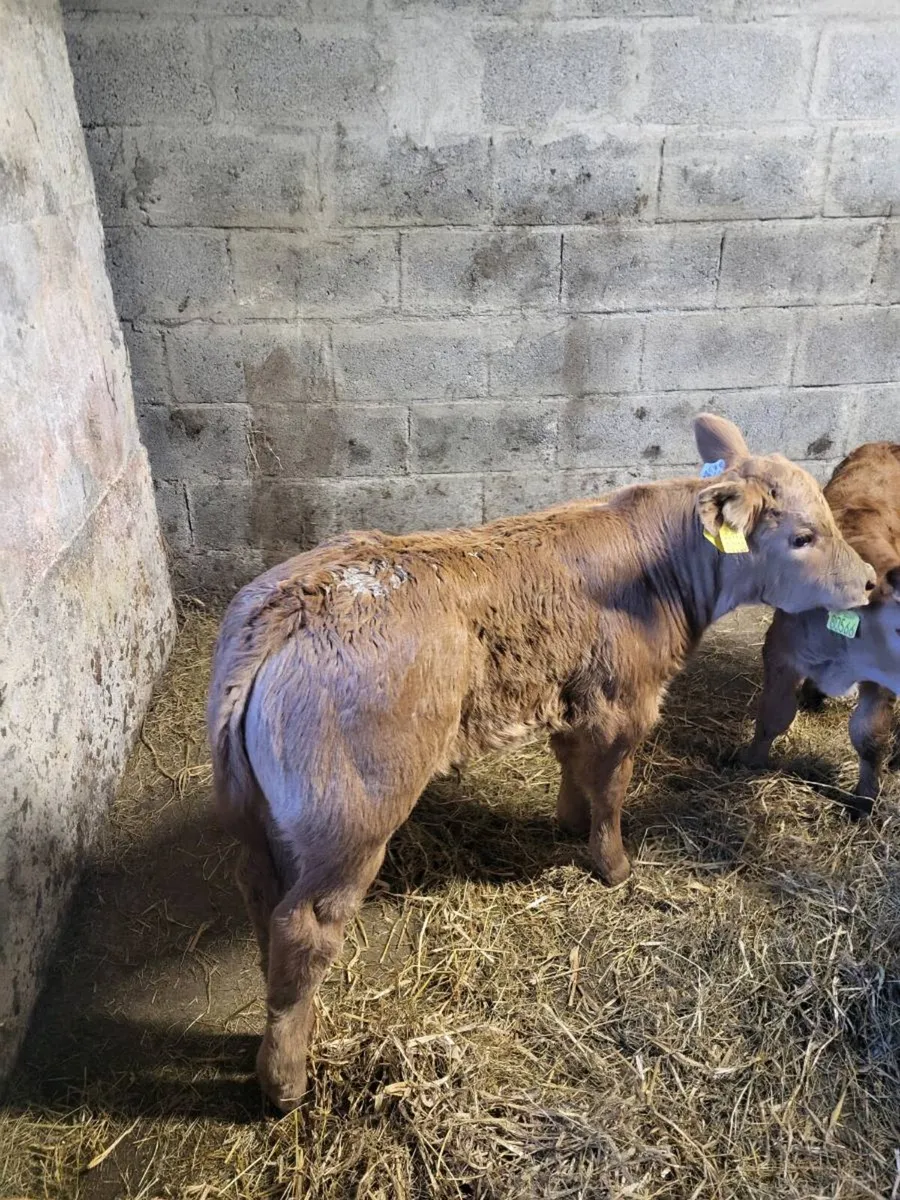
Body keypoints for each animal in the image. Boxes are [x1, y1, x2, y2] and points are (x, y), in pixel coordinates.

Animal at [207, 413, 875, 1112]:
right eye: (803, 536)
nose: (868, 581)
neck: (662, 573)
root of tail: (291, 603)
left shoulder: (573, 698)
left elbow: (573, 768)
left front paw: (567, 822)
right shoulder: (624, 705)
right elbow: (611, 791)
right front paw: (613, 866)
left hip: (254, 813)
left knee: (259, 893)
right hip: (353, 818)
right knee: (303, 928)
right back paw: (285, 1083)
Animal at [742, 441, 900, 815]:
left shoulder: (880, 681)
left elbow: (870, 737)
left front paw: (865, 799)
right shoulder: (781, 651)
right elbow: (774, 714)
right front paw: (751, 762)